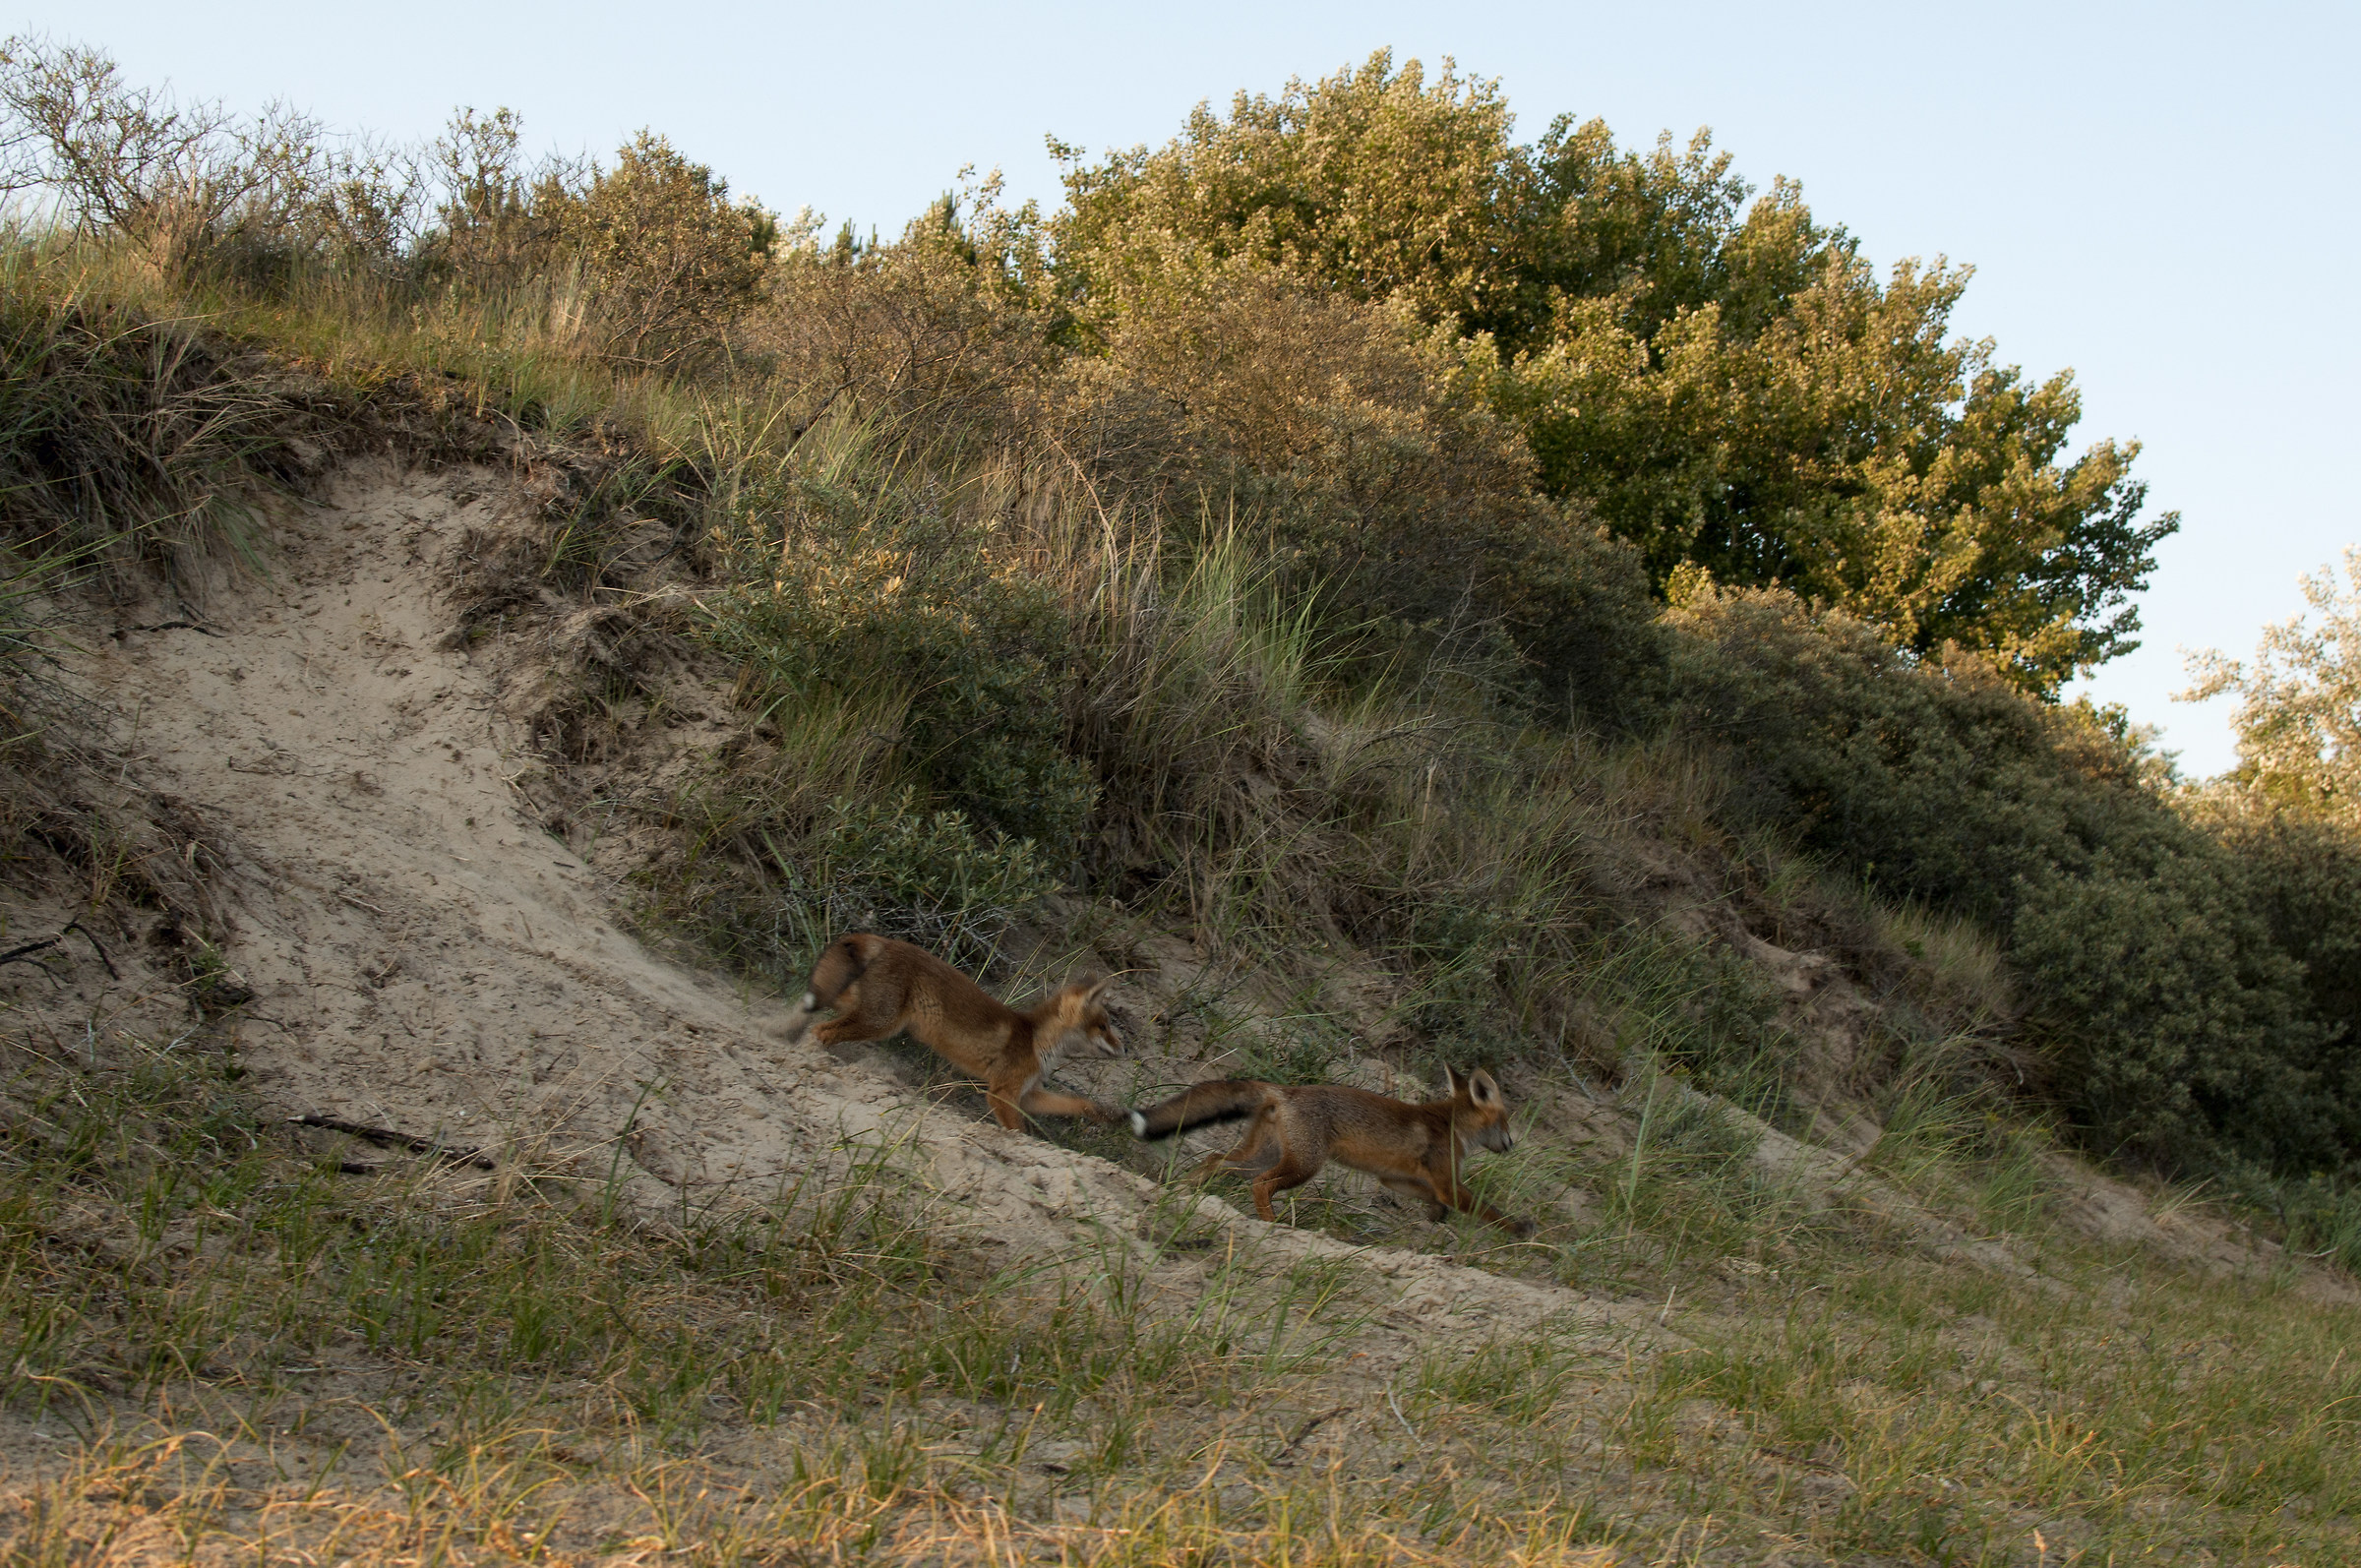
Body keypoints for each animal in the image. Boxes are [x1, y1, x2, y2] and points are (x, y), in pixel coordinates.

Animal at [775, 933, 1126, 1131]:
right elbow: (1018, 1133)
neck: (1036, 1041)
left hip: (862, 1009)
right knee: (821, 1030)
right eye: (1104, 1026)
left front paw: (1113, 1114)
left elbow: (1081, 1104)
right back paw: (815, 1060)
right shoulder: (1001, 1094)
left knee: (814, 1011)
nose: (1124, 1049)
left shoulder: (1028, 1095)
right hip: (878, 1023)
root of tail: (886, 941)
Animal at [1129, 1067, 1535, 1238]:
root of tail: (1286, 1090)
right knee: (1261, 1185)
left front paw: (1436, 1216)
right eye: (1506, 1122)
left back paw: (1183, 1191)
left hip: (1259, 1157)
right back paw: (1274, 1225)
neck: (1450, 1124)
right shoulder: (1447, 1180)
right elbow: (1489, 1210)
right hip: (1303, 1166)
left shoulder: (1395, 1177)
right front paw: (1519, 1229)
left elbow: (1433, 1198)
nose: (1512, 1145)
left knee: (1215, 1161)